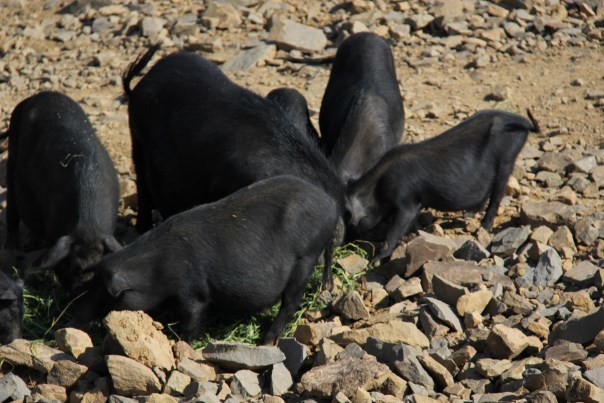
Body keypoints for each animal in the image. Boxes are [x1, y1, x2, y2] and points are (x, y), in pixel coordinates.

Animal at [4, 90, 121, 290]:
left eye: (98, 267)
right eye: (70, 265)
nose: (82, 289)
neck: (88, 225)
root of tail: (38, 95)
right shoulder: (54, 232)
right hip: (12, 155)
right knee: (12, 201)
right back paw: (13, 248)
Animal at [71, 175, 340, 346]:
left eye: (110, 294)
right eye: (91, 282)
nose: (75, 318)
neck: (155, 269)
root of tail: (331, 204)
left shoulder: (193, 291)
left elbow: (192, 318)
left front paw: (178, 341)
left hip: (305, 258)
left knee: (291, 301)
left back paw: (268, 341)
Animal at [346, 110, 536, 262]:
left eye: (352, 222)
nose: (345, 243)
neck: (378, 188)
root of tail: (522, 122)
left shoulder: (407, 200)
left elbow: (397, 227)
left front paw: (375, 260)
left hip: (507, 160)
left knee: (497, 195)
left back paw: (484, 227)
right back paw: (469, 214)